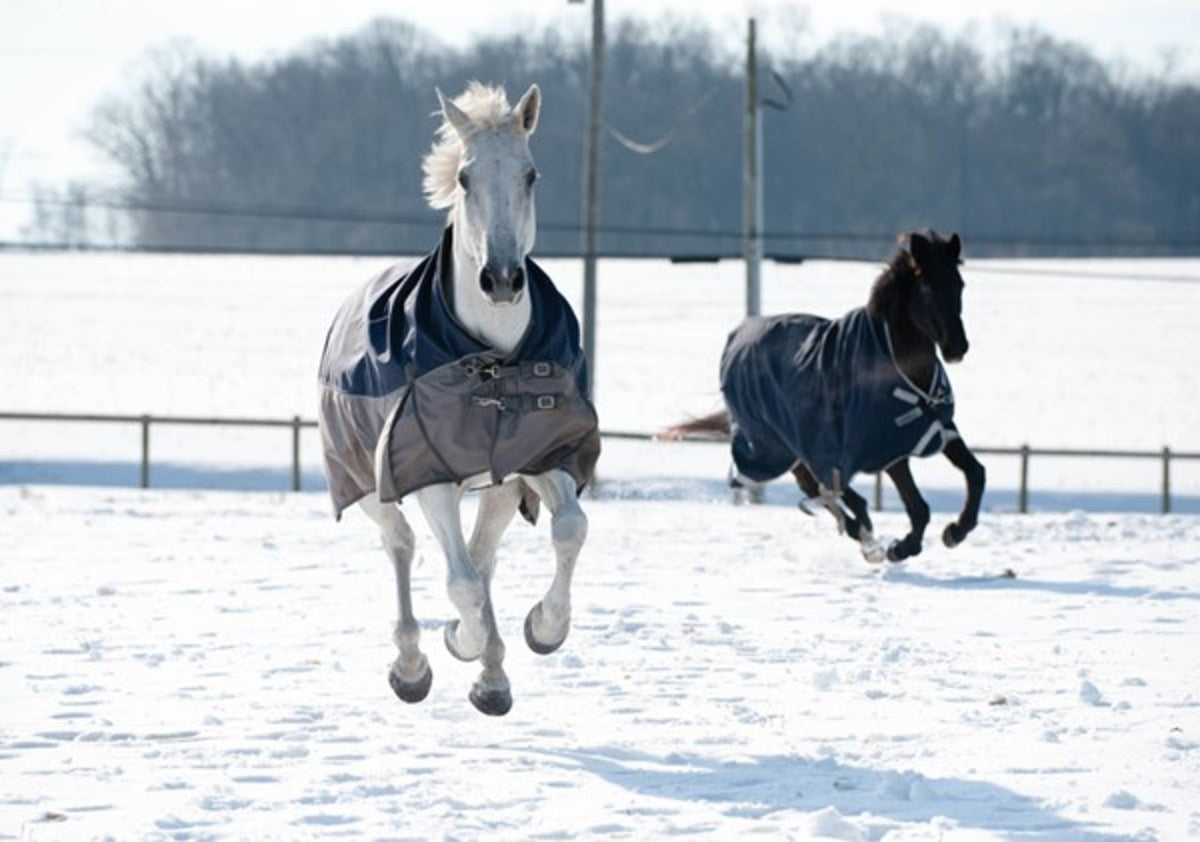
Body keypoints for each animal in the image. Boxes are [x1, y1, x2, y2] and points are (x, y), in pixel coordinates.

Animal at [317, 83, 600, 716]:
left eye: (530, 174)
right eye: (466, 178)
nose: (503, 279)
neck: (491, 360)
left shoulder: (538, 459)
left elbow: (569, 530)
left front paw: (543, 629)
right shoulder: (428, 475)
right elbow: (461, 583)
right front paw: (458, 640)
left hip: (498, 490)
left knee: (481, 553)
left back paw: (492, 676)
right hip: (368, 485)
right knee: (404, 547)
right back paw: (413, 667)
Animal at [665, 231, 985, 563]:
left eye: (959, 284)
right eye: (928, 288)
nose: (957, 347)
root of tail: (738, 336)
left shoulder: (936, 428)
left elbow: (976, 473)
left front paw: (956, 531)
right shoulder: (887, 448)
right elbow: (919, 507)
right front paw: (901, 547)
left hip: (795, 446)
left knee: (818, 486)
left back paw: (863, 532)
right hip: (778, 444)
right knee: (819, 486)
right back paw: (867, 538)